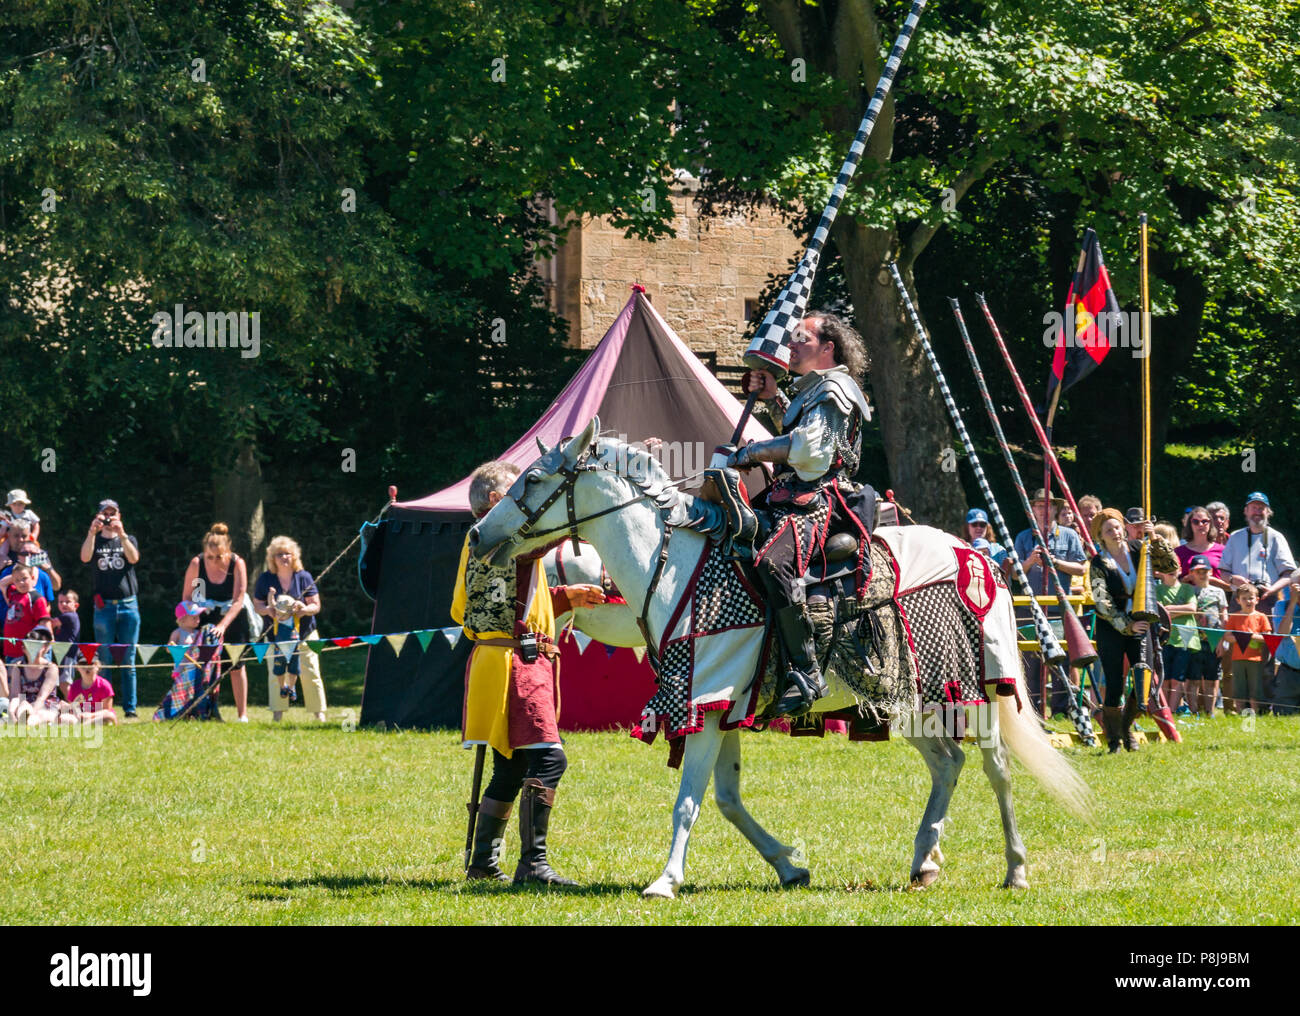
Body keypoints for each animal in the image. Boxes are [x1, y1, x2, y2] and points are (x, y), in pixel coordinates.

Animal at [473, 420, 1092, 899]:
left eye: (533, 479)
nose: (478, 534)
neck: (674, 569)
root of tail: (978, 557)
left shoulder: (703, 701)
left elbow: (688, 802)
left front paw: (665, 881)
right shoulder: (721, 705)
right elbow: (725, 799)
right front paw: (789, 865)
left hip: (976, 690)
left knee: (997, 769)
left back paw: (1015, 869)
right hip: (904, 697)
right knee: (948, 764)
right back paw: (924, 861)